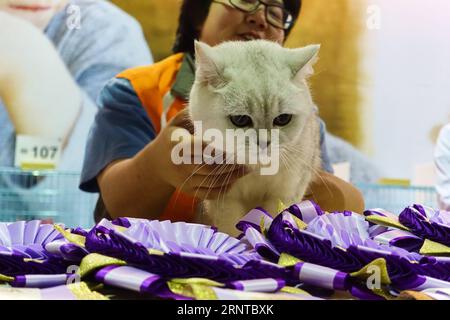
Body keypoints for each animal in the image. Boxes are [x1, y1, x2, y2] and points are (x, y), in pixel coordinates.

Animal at [188, 40, 322, 235]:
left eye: (283, 119)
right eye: (240, 119)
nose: (264, 143)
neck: (257, 169)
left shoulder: (285, 193)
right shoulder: (224, 201)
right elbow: (231, 231)